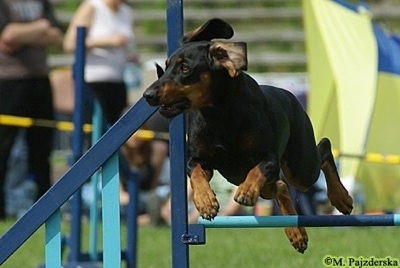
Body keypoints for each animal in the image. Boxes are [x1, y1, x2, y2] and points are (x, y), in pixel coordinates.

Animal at [144, 18, 354, 253]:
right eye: (166, 66)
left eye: (185, 67)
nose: (148, 95)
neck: (220, 114)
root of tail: (291, 96)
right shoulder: (199, 159)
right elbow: (196, 173)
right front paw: (205, 202)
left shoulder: (269, 158)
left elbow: (257, 170)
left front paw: (246, 191)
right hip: (273, 182)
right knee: (280, 186)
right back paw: (297, 233)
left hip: (300, 167)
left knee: (323, 148)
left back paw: (341, 198)